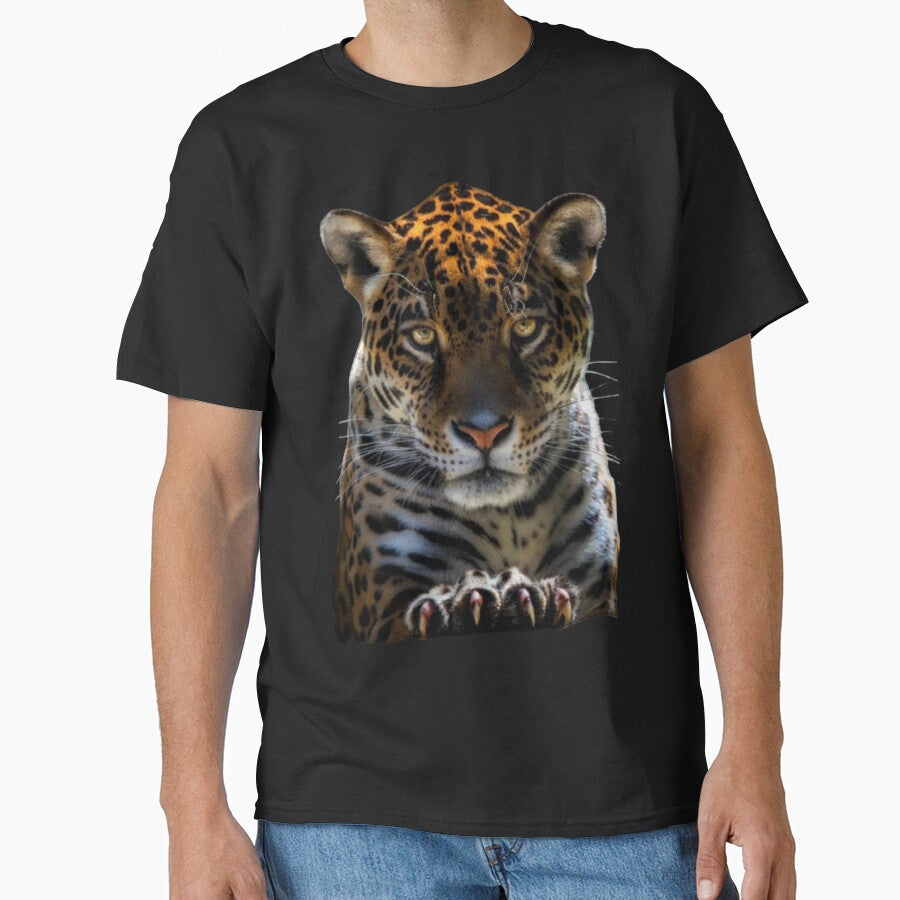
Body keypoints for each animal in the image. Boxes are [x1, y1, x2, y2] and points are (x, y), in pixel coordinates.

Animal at [320, 182, 619, 643]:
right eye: (423, 337)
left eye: (526, 328)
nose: (484, 432)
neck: (512, 517)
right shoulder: (384, 601)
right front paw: (475, 602)